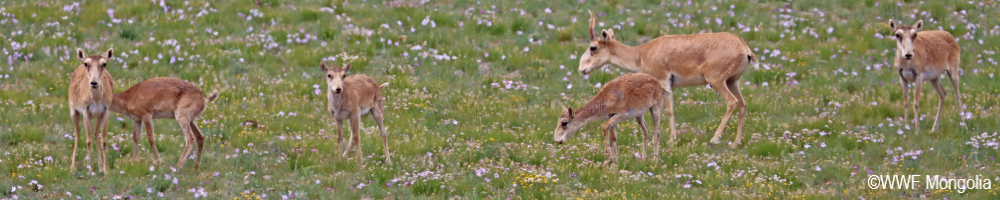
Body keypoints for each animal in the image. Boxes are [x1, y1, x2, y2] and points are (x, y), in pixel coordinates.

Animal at [580, 10, 756, 148]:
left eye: (593, 47)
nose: (582, 69)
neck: (643, 53)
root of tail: (744, 47)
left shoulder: (664, 79)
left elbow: (669, 110)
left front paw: (672, 140)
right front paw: (654, 141)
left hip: (717, 81)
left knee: (732, 102)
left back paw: (714, 138)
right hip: (732, 81)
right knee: (742, 104)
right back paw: (736, 142)